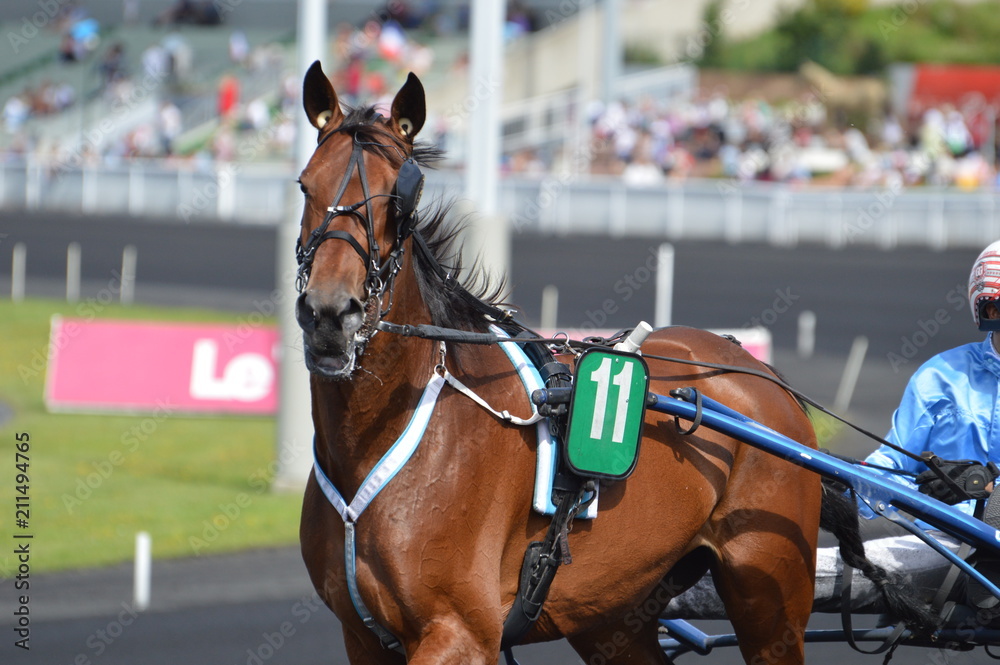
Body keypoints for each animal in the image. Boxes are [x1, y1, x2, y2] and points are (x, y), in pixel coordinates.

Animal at [295, 61, 825, 665]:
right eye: (305, 184)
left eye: (400, 199)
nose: (329, 313)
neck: (379, 437)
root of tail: (758, 372)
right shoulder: (361, 635)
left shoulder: (459, 631)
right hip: (614, 608)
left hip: (768, 594)